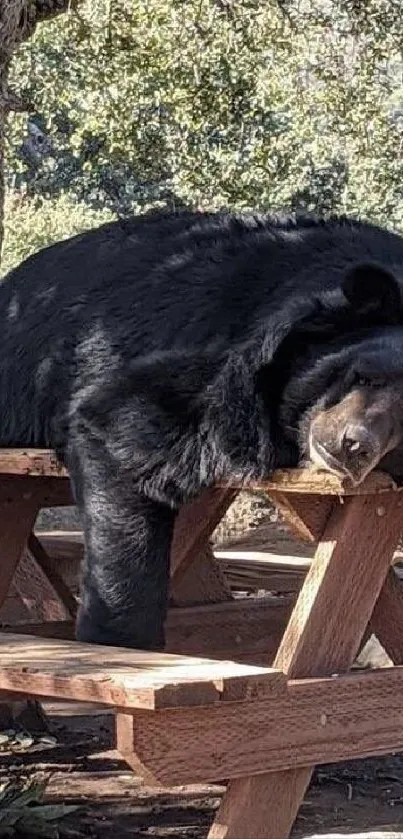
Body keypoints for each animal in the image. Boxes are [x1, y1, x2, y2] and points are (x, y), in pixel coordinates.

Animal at [2, 208, 403, 648]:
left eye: (401, 431)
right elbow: (122, 424)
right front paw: (119, 637)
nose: (355, 445)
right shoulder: (223, 355)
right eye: (364, 376)